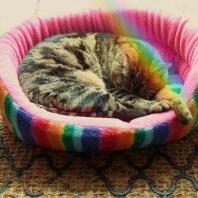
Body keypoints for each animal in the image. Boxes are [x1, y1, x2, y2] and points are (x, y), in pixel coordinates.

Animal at [18, 31, 192, 123]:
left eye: (146, 91)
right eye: (125, 86)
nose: (149, 98)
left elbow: (171, 95)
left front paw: (184, 112)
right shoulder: (115, 89)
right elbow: (133, 100)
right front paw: (158, 103)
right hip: (89, 91)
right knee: (121, 109)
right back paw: (156, 107)